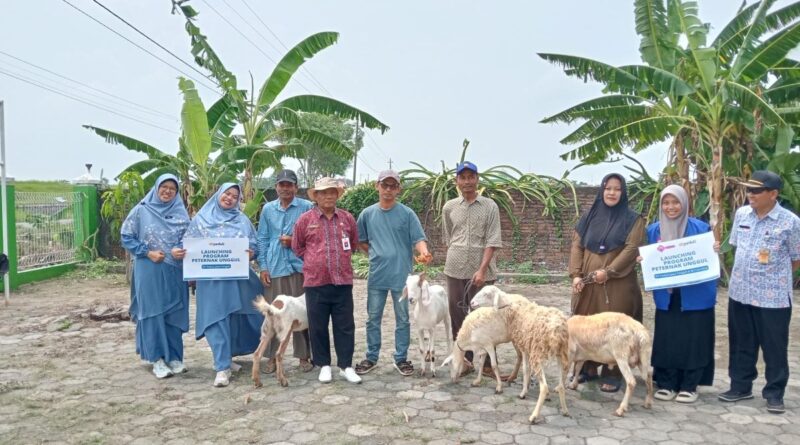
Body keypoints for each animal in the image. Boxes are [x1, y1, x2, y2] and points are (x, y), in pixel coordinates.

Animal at [466, 284, 572, 424]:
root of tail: (557, 329)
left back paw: (534, 416)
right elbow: (526, 370)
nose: (471, 303)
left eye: (487, 294)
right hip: (561, 354)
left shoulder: (525, 347)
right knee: (560, 386)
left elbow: (526, 370)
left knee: (544, 387)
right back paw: (565, 410)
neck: (512, 308)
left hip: (538, 352)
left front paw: (523, 392)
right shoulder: (526, 347)